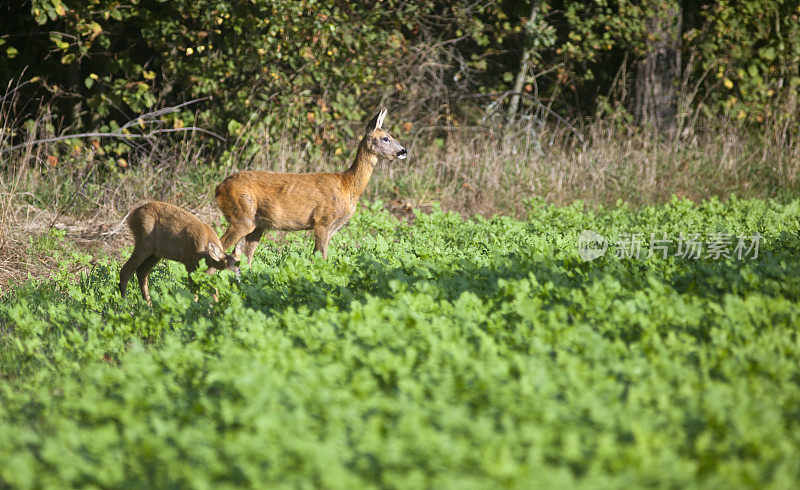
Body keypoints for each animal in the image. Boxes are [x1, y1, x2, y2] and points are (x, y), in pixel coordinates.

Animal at [214, 107, 406, 262]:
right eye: (385, 138)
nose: (403, 151)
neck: (348, 186)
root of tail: (219, 188)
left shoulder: (333, 227)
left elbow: (316, 256)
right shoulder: (322, 220)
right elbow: (321, 256)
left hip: (258, 223)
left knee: (243, 254)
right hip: (242, 216)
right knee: (220, 246)